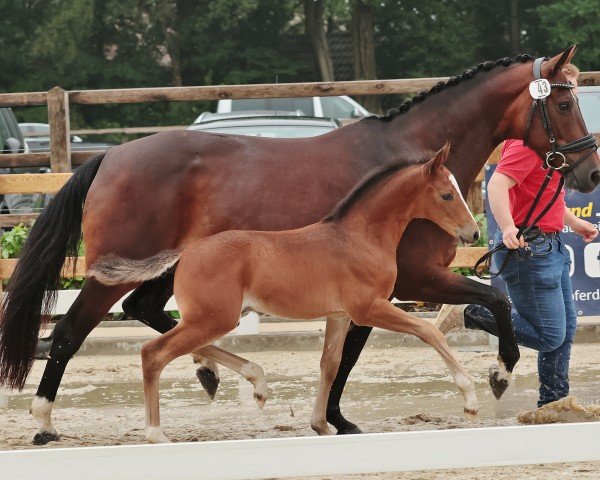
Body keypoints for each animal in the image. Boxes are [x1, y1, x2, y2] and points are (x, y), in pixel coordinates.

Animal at [89, 143, 480, 442]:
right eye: (447, 194)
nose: (473, 232)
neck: (359, 236)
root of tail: (185, 252)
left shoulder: (340, 315)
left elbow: (329, 364)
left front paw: (321, 426)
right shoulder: (369, 307)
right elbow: (429, 331)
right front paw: (470, 399)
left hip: (213, 318)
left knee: (182, 345)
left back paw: (256, 382)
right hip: (214, 318)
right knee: (153, 353)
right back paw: (157, 433)